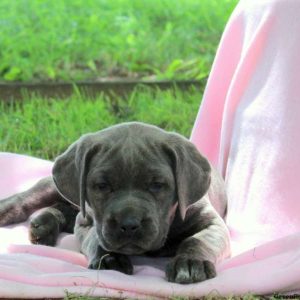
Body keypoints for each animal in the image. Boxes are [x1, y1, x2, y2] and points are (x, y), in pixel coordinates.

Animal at [0, 122, 231, 284]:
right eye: (102, 185)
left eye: (157, 185)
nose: (129, 224)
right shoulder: (86, 223)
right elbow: (96, 238)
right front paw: (110, 258)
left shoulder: (212, 223)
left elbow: (197, 240)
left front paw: (190, 263)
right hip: (52, 189)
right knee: (27, 200)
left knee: (61, 209)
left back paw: (44, 226)